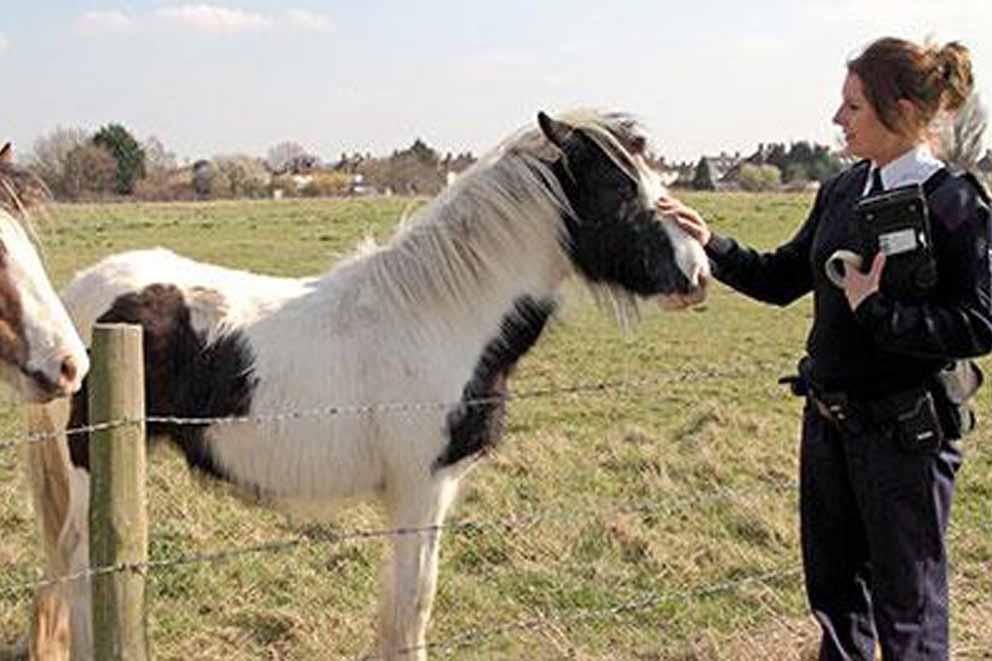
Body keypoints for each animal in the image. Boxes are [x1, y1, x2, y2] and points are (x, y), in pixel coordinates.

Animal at [31, 111, 708, 656]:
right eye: (618, 186)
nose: (697, 272)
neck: (440, 314)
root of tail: (79, 299)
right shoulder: (420, 489)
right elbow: (412, 608)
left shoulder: (434, 491)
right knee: (78, 569)